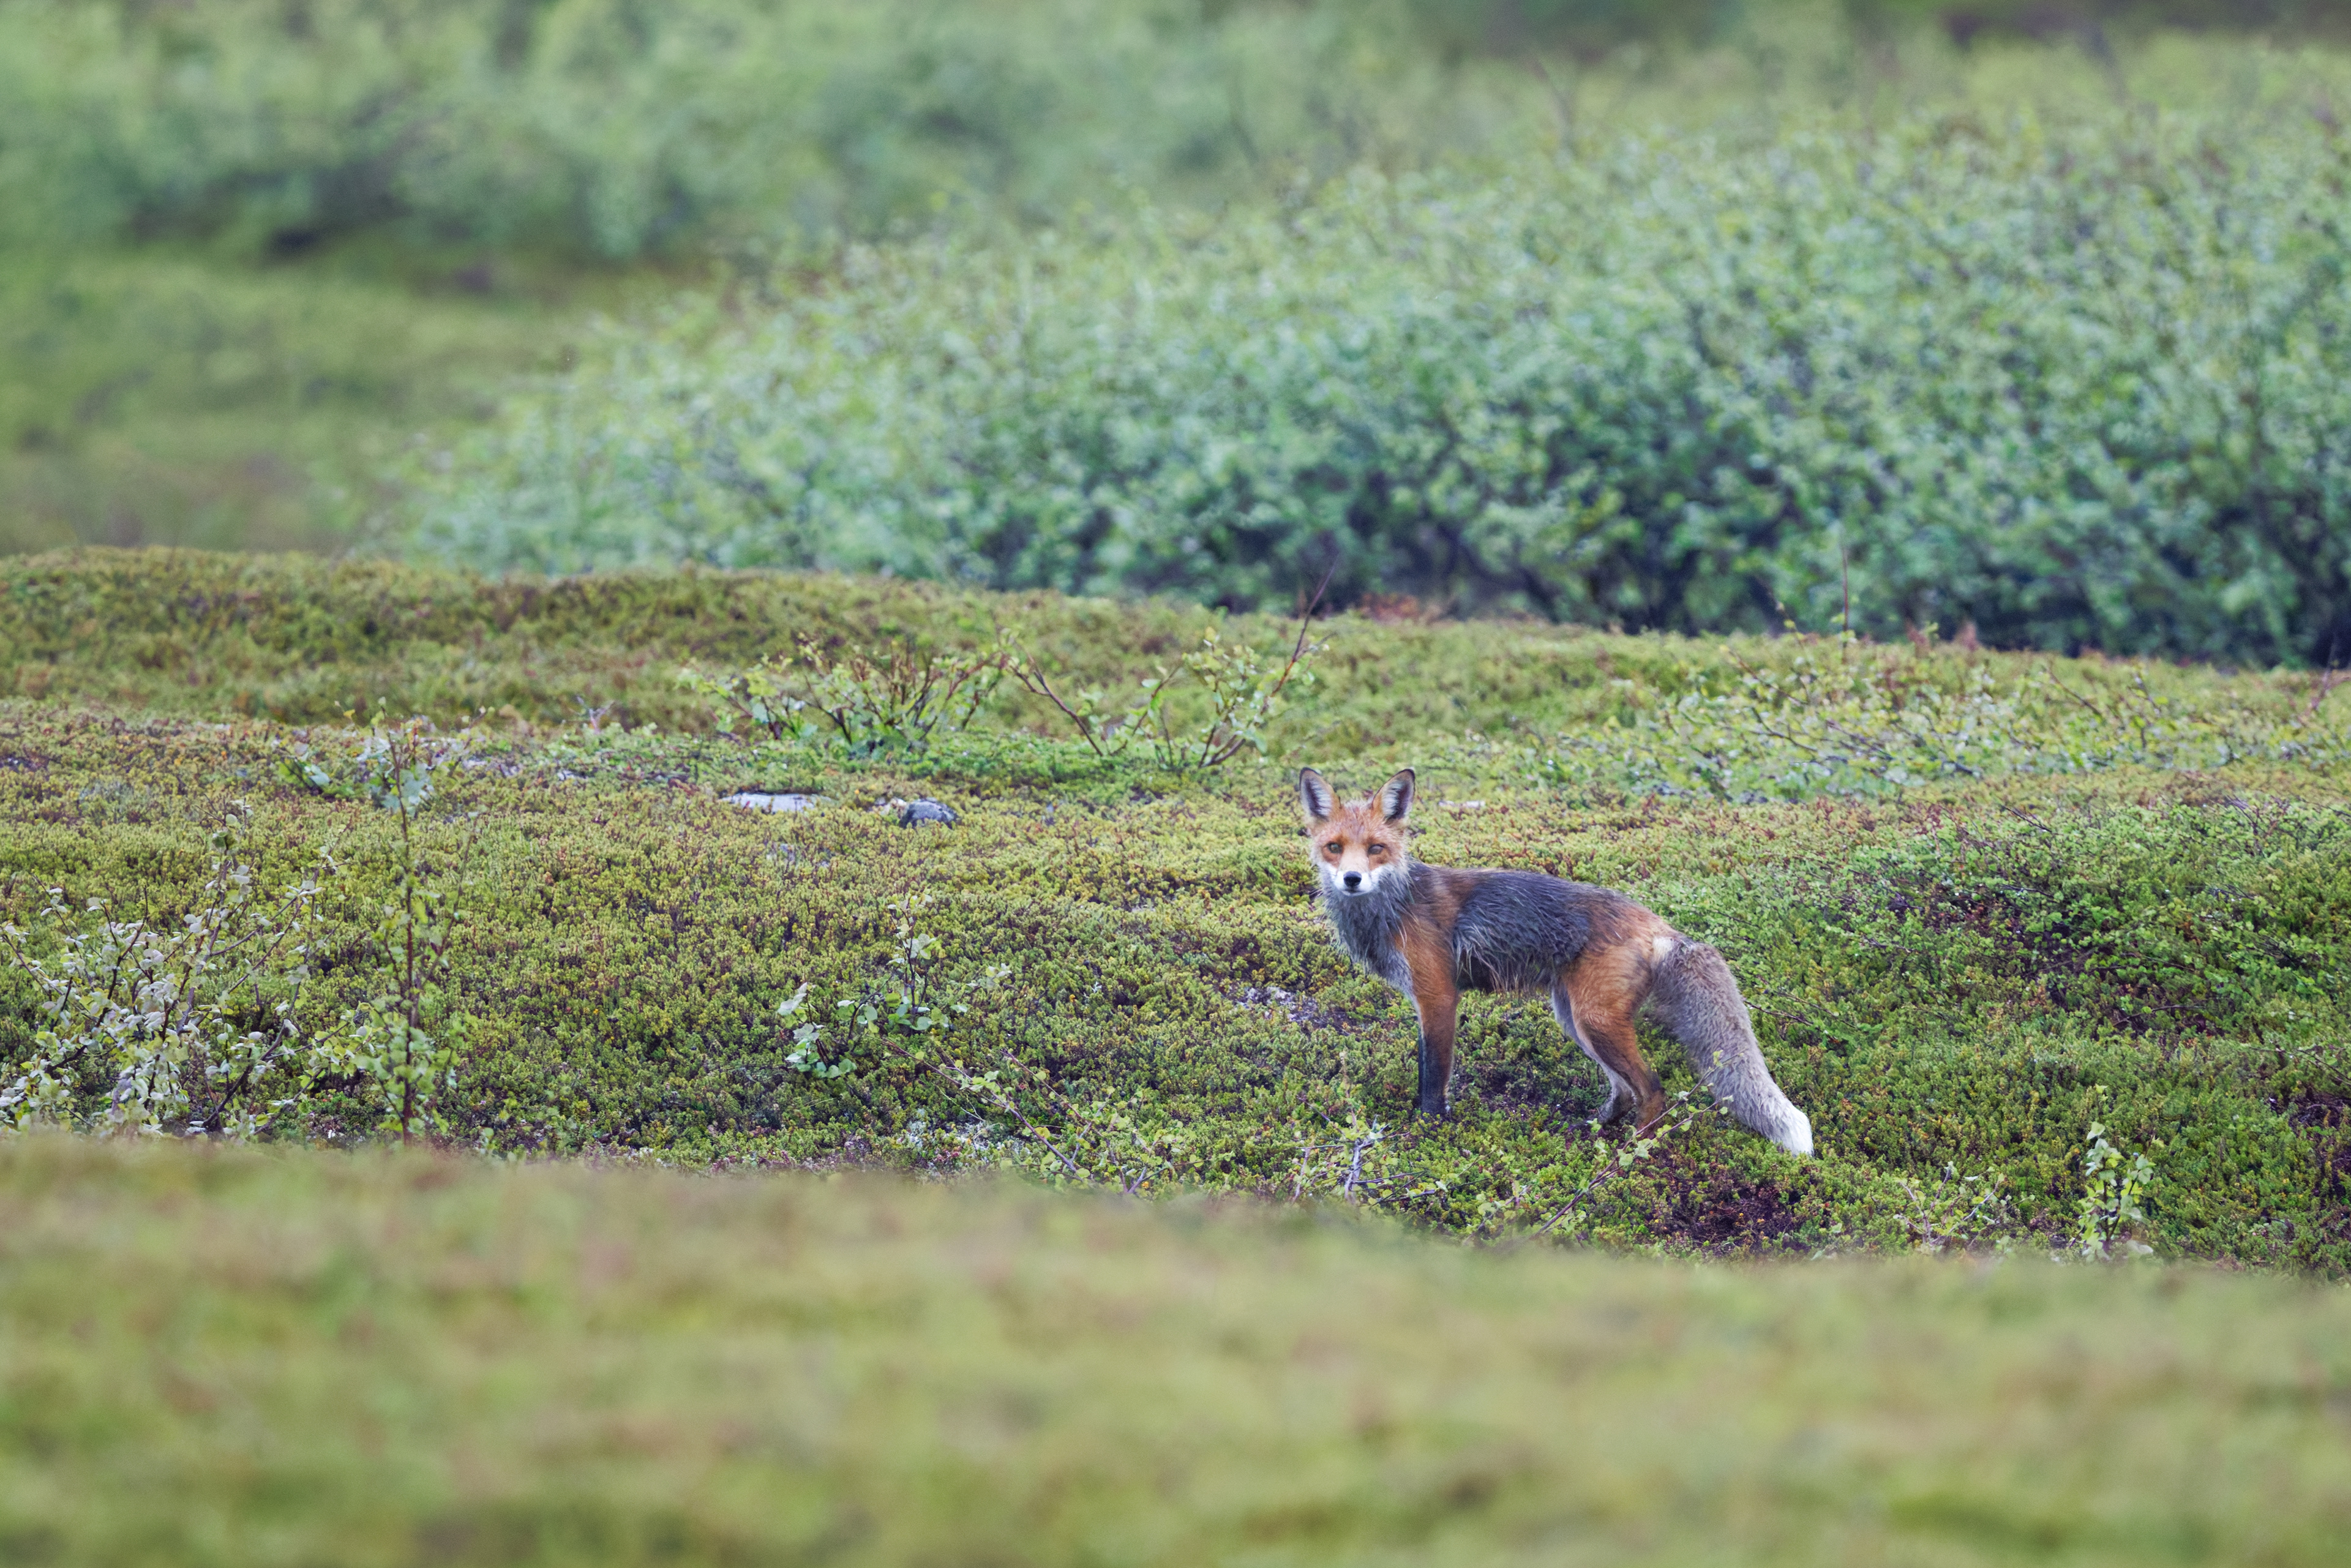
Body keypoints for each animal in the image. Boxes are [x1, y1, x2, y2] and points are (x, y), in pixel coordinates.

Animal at [1298, 767, 1813, 1156]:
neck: (1394, 907)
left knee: (1653, 1090)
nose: (1351, 879)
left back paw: (1632, 1156)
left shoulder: (1438, 997)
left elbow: (1432, 1082)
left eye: (1376, 848)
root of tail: (1661, 926)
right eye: (1334, 846)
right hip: (1574, 1019)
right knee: (1624, 1091)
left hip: (1595, 1021)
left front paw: (1425, 1136)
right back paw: (1592, 1132)